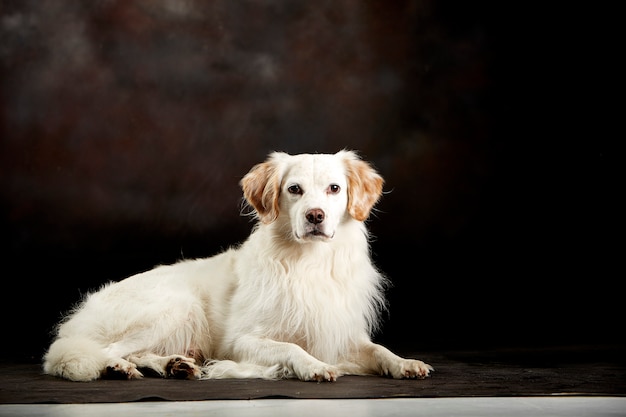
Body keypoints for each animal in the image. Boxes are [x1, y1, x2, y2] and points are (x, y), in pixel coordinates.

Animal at [44, 150, 432, 380]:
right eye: (294, 189)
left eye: (334, 188)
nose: (315, 216)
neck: (308, 262)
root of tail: (77, 319)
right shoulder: (241, 340)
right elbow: (292, 348)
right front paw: (314, 366)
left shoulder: (341, 333)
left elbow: (378, 349)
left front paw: (405, 363)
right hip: (176, 306)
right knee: (102, 351)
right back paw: (119, 367)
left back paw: (173, 364)